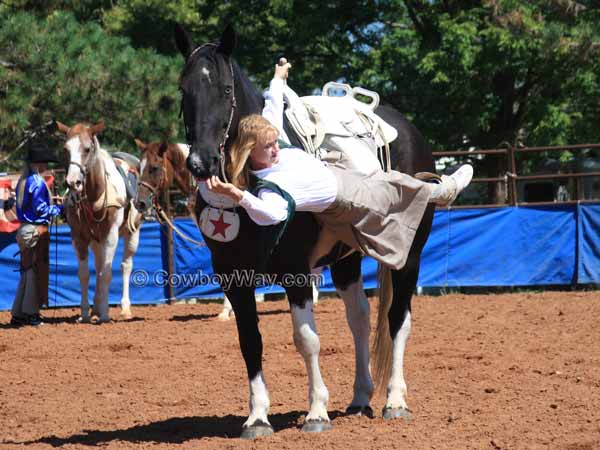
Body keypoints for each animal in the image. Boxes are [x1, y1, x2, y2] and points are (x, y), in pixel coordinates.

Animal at [55, 120, 142, 324]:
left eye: (87, 149)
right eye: (66, 149)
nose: (73, 182)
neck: (96, 194)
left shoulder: (111, 235)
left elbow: (107, 273)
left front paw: (104, 314)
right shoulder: (78, 237)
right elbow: (85, 274)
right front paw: (86, 313)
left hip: (133, 233)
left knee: (126, 266)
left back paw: (124, 308)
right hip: (96, 241)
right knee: (99, 264)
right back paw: (96, 306)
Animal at [176, 24, 434, 440]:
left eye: (226, 90)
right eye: (184, 89)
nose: (201, 162)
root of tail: (410, 133)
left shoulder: (296, 271)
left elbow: (307, 339)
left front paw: (316, 412)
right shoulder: (233, 276)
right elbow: (250, 341)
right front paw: (257, 417)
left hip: (408, 257)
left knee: (398, 319)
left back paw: (395, 401)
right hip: (346, 261)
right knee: (360, 318)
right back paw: (360, 397)